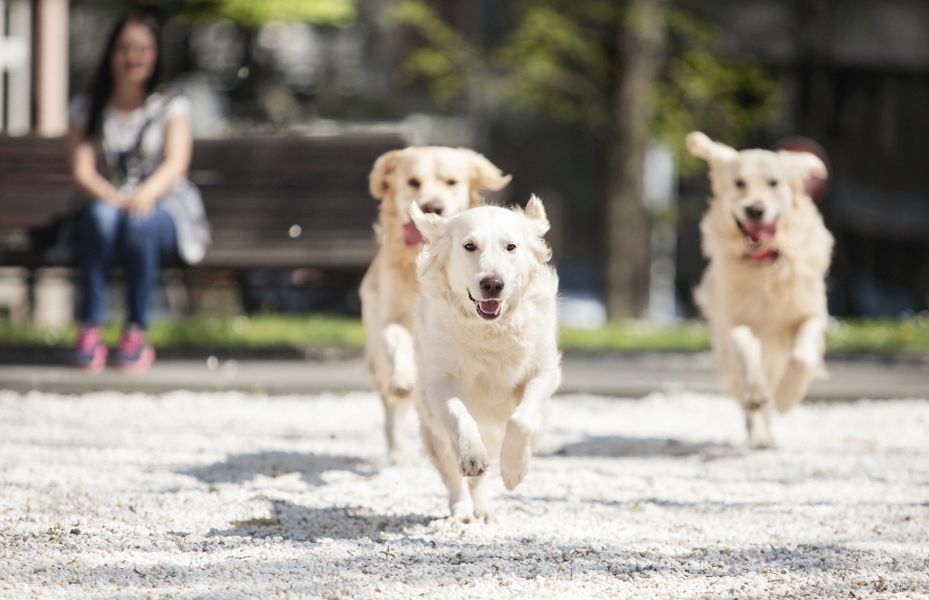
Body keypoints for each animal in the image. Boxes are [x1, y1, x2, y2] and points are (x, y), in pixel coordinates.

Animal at [358, 146, 512, 464]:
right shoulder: (392, 317)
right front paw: (404, 378)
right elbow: (398, 343)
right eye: (413, 182)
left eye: (451, 182)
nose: (432, 206)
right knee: (391, 407)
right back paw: (397, 450)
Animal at [408, 196, 560, 520]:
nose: (492, 283)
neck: (491, 328)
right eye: (469, 246)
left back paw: (484, 509)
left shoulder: (544, 372)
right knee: (452, 471)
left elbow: (521, 421)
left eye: (511, 247)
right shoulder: (439, 381)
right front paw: (472, 456)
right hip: (433, 427)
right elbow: (460, 417)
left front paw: (515, 470)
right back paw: (464, 509)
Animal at [688, 132, 832, 450]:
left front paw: (787, 397)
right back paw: (759, 431)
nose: (755, 209)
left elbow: (803, 356)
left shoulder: (812, 314)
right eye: (739, 183)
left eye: (773, 183)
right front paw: (756, 394)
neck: (766, 264)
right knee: (747, 391)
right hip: (727, 358)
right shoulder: (733, 319)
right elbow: (745, 345)